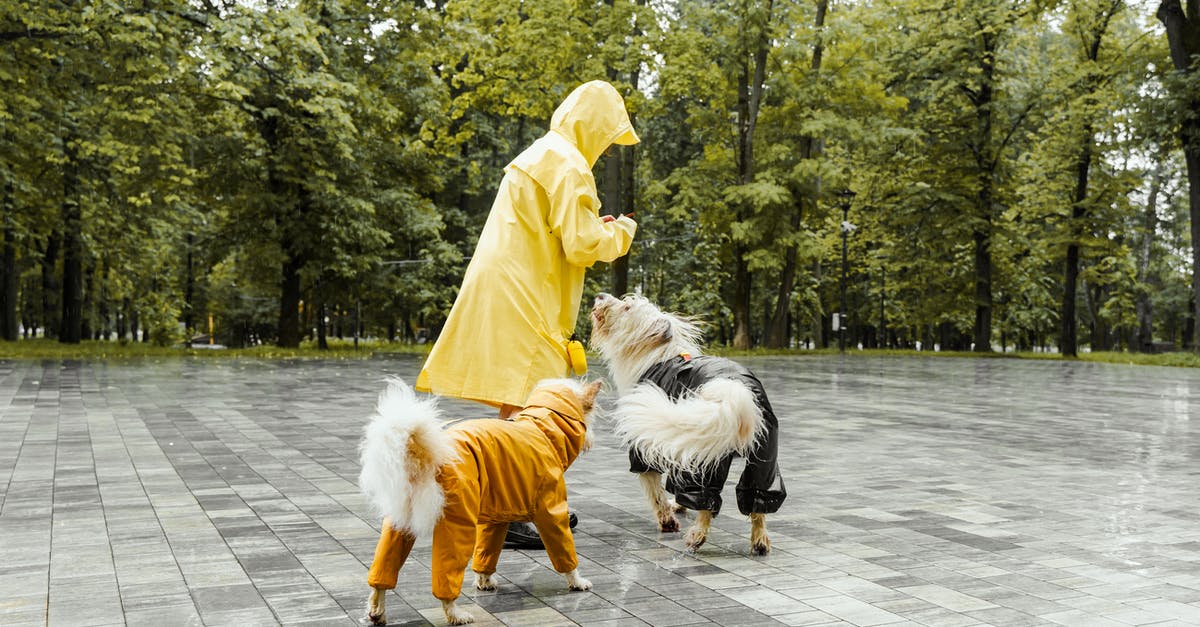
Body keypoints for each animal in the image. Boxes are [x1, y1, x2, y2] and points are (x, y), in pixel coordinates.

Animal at [355, 372, 600, 619]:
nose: (591, 440)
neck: (543, 428)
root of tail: (425, 454)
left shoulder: (497, 517)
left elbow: (487, 553)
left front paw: (484, 582)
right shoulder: (552, 511)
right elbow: (564, 550)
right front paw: (577, 581)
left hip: (399, 522)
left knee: (383, 569)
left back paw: (376, 609)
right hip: (458, 522)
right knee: (447, 576)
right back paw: (455, 613)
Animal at [590, 293, 787, 552]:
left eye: (627, 307)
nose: (600, 295)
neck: (656, 355)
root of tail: (734, 388)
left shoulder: (646, 447)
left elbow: (655, 491)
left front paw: (668, 521)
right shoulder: (678, 444)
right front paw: (679, 506)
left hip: (706, 455)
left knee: (707, 499)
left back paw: (697, 534)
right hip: (763, 456)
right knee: (758, 497)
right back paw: (760, 540)